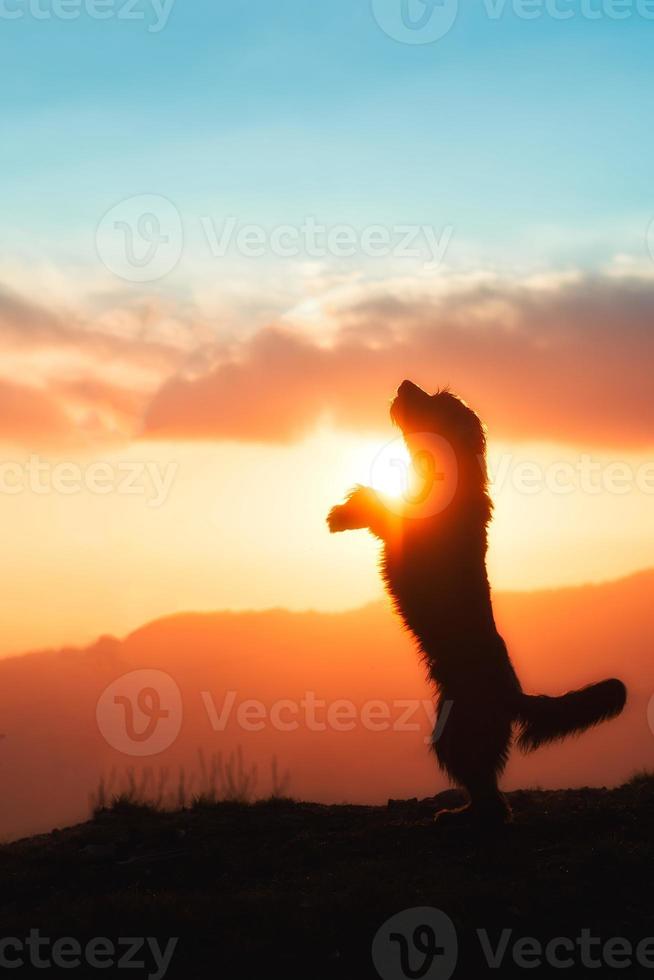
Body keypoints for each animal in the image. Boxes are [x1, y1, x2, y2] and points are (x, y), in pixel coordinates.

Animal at [330, 378, 628, 824]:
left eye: (438, 402)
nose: (404, 383)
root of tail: (512, 693)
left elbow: (384, 507)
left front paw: (346, 512)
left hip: (456, 732)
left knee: (489, 794)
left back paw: (463, 815)